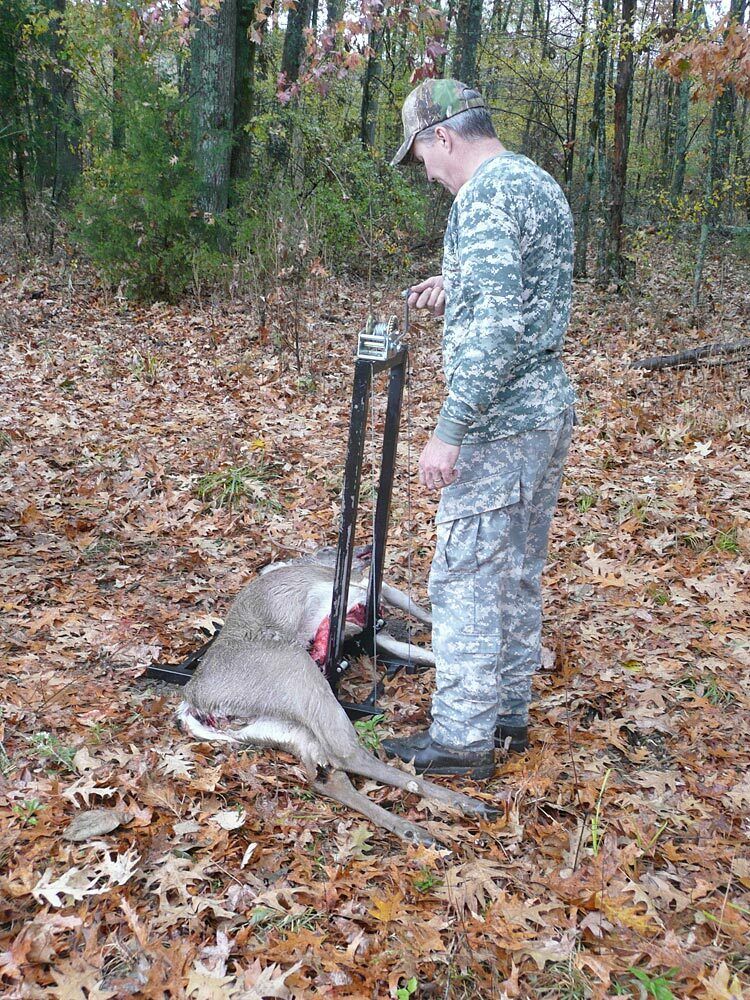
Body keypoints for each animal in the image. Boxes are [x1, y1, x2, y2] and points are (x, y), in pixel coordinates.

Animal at [176, 547, 497, 845]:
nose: (365, 551)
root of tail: (192, 700)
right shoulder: (363, 592)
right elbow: (417, 613)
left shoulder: (375, 630)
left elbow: (425, 653)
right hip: (296, 674)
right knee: (348, 755)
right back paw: (459, 806)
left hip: (278, 724)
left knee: (326, 775)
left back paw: (419, 826)